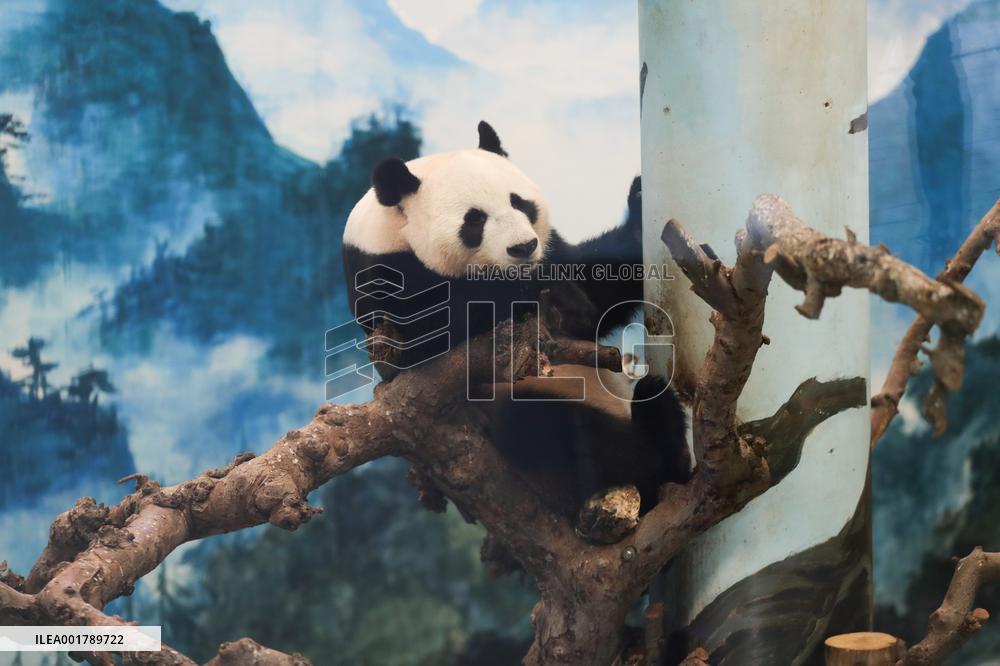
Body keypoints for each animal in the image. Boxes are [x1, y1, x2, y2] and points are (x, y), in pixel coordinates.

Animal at [342, 121, 690, 525]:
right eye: (474, 220)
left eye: (519, 202)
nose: (523, 247)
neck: (392, 235)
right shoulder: (386, 280)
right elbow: (438, 332)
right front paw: (539, 292)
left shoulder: (552, 248)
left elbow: (595, 300)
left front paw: (637, 205)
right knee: (546, 428)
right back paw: (652, 460)